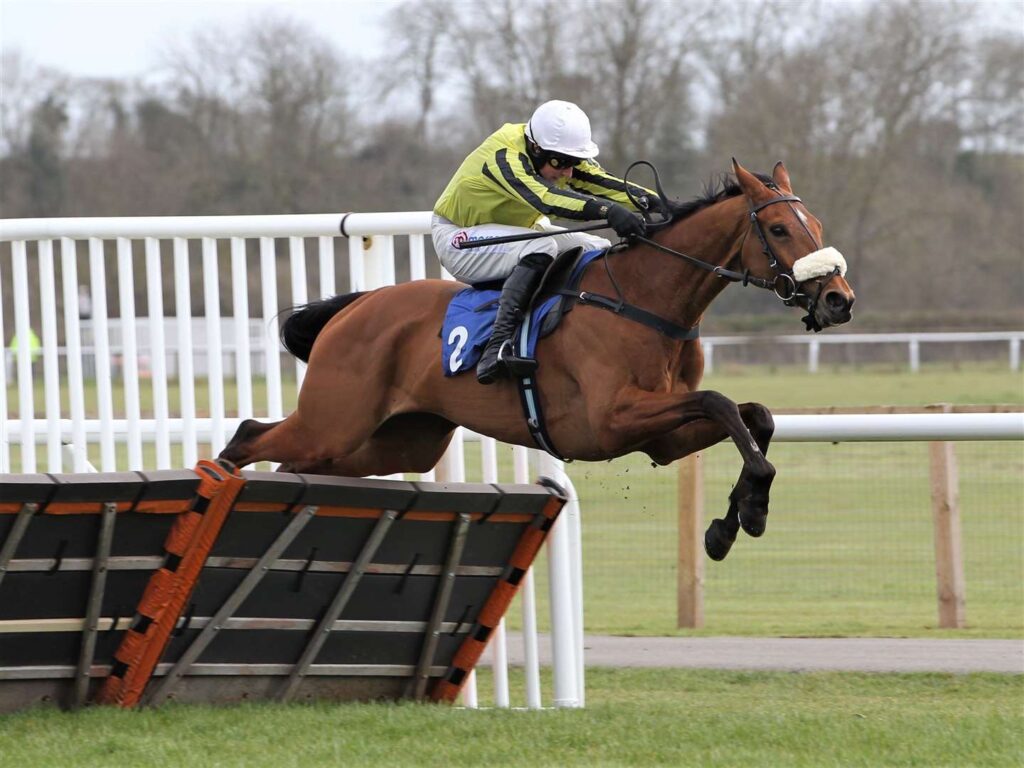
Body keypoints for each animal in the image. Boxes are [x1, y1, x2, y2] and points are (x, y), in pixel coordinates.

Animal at [224, 160, 856, 561]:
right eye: (779, 228)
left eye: (818, 225)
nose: (838, 299)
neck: (645, 300)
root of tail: (353, 309)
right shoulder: (610, 421)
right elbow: (722, 403)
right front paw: (744, 514)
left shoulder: (662, 437)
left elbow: (754, 418)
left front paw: (735, 520)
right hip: (334, 421)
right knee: (249, 434)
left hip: (396, 441)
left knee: (292, 464)